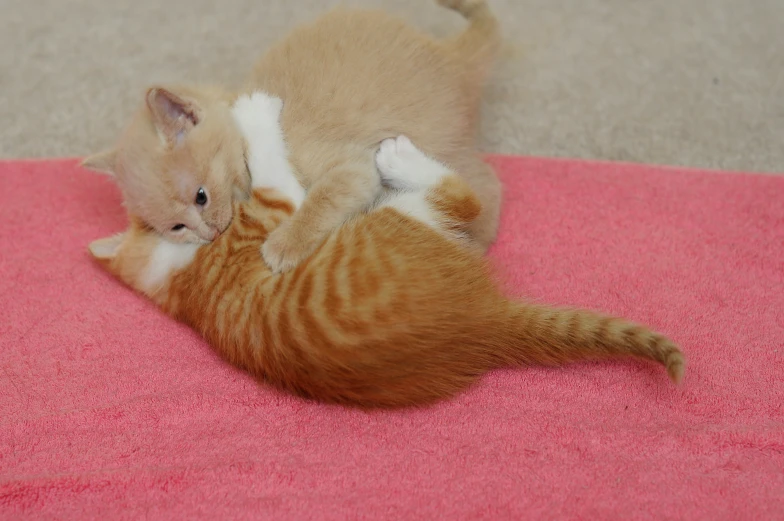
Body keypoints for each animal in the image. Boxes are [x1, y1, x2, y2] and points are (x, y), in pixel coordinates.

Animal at [82, 1, 506, 272]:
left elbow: (323, 198)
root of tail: (451, 55)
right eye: (176, 228)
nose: (209, 233)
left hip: (437, 136)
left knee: (484, 187)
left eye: (200, 197)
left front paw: (284, 244)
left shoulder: (350, 165)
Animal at [89, 93, 684, 410]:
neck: (180, 285)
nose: (208, 232)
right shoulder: (273, 213)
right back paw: (401, 158)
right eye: (176, 226)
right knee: (458, 198)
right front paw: (255, 115)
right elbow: (279, 182)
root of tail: (485, 322)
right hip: (400, 216)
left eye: (197, 201)